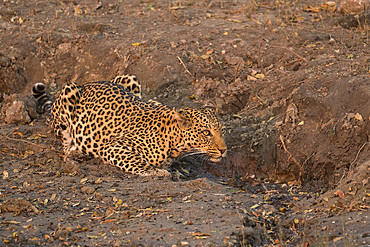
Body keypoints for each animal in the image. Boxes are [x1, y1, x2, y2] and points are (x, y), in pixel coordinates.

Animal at [33, 74, 227, 175]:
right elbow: (137, 162)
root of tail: (87, 83)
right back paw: (74, 155)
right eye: (206, 132)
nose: (224, 150)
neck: (173, 142)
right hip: (69, 92)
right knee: (65, 142)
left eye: (222, 131)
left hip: (129, 77)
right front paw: (156, 171)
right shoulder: (112, 146)